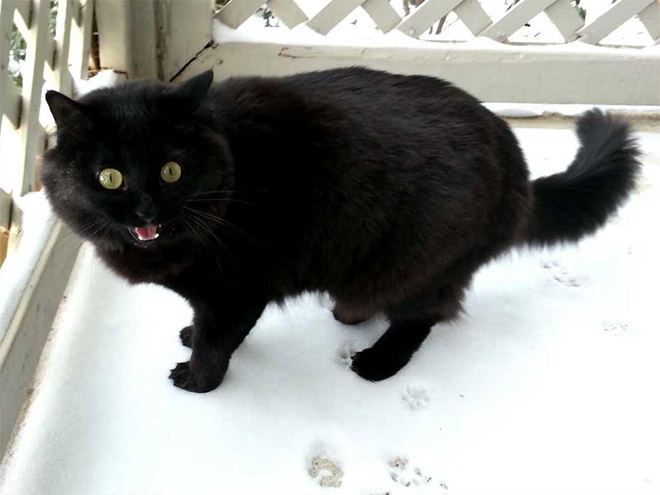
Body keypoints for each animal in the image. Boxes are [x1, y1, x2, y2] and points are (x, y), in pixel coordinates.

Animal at [41, 68, 640, 394]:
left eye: (171, 170)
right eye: (109, 177)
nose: (145, 210)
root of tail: (516, 162)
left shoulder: (238, 289)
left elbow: (218, 342)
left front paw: (197, 379)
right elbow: (209, 329)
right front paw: (190, 336)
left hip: (417, 265)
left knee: (423, 317)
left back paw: (375, 362)